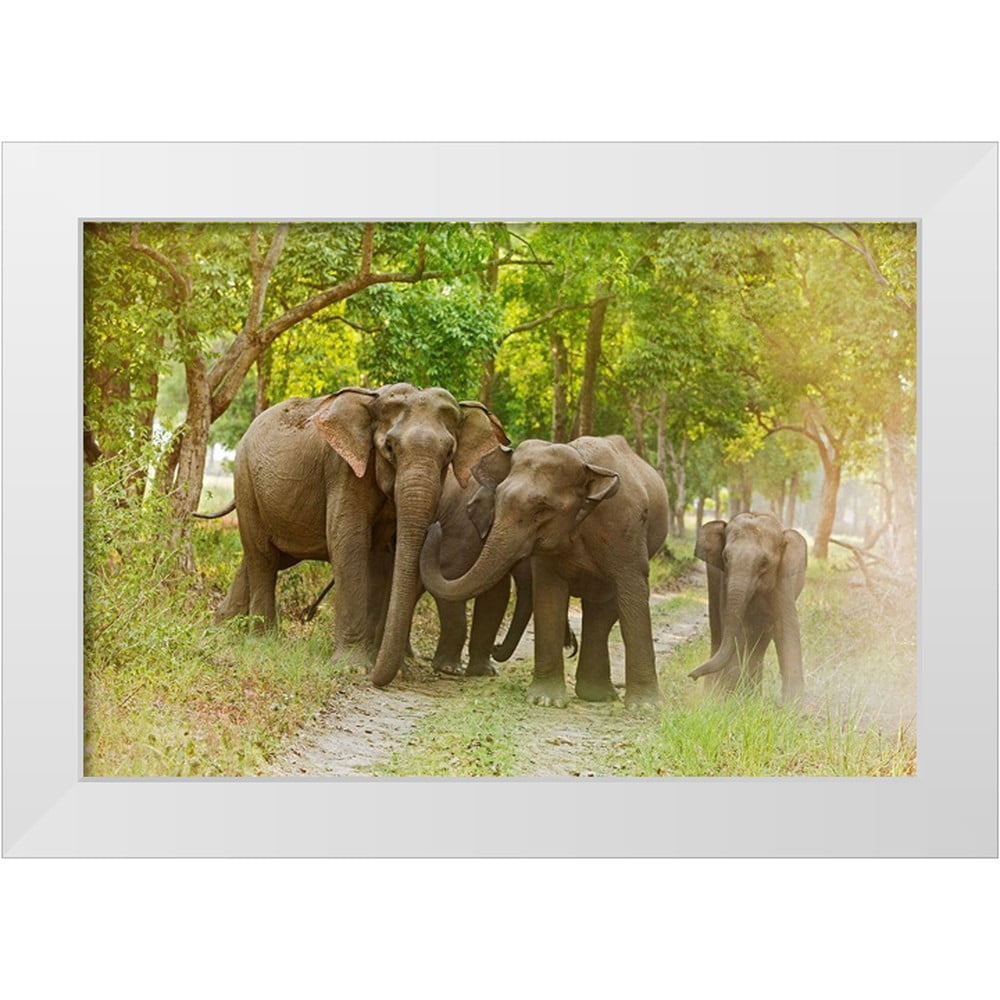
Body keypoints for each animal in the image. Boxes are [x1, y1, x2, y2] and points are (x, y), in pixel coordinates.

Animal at [210, 382, 509, 688]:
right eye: (389, 447)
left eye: (449, 453)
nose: (378, 678)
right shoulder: (343, 470)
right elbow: (350, 543)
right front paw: (353, 669)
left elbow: (384, 561)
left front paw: (392, 669)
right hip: (245, 481)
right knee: (263, 556)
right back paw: (261, 640)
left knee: (264, 558)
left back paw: (224, 625)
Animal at [420, 434, 668, 710]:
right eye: (498, 501)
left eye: (543, 510)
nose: (496, 647)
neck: (583, 462)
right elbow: (548, 598)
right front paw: (545, 700)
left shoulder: (626, 529)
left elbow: (632, 593)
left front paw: (645, 708)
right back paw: (596, 694)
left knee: (604, 611)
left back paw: (599, 695)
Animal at [688, 512, 807, 700]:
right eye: (725, 557)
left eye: (764, 562)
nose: (692, 675)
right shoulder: (724, 580)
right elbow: (734, 627)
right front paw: (726, 697)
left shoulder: (783, 580)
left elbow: (785, 627)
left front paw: (791, 704)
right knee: (718, 629)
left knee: (762, 638)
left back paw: (752, 694)